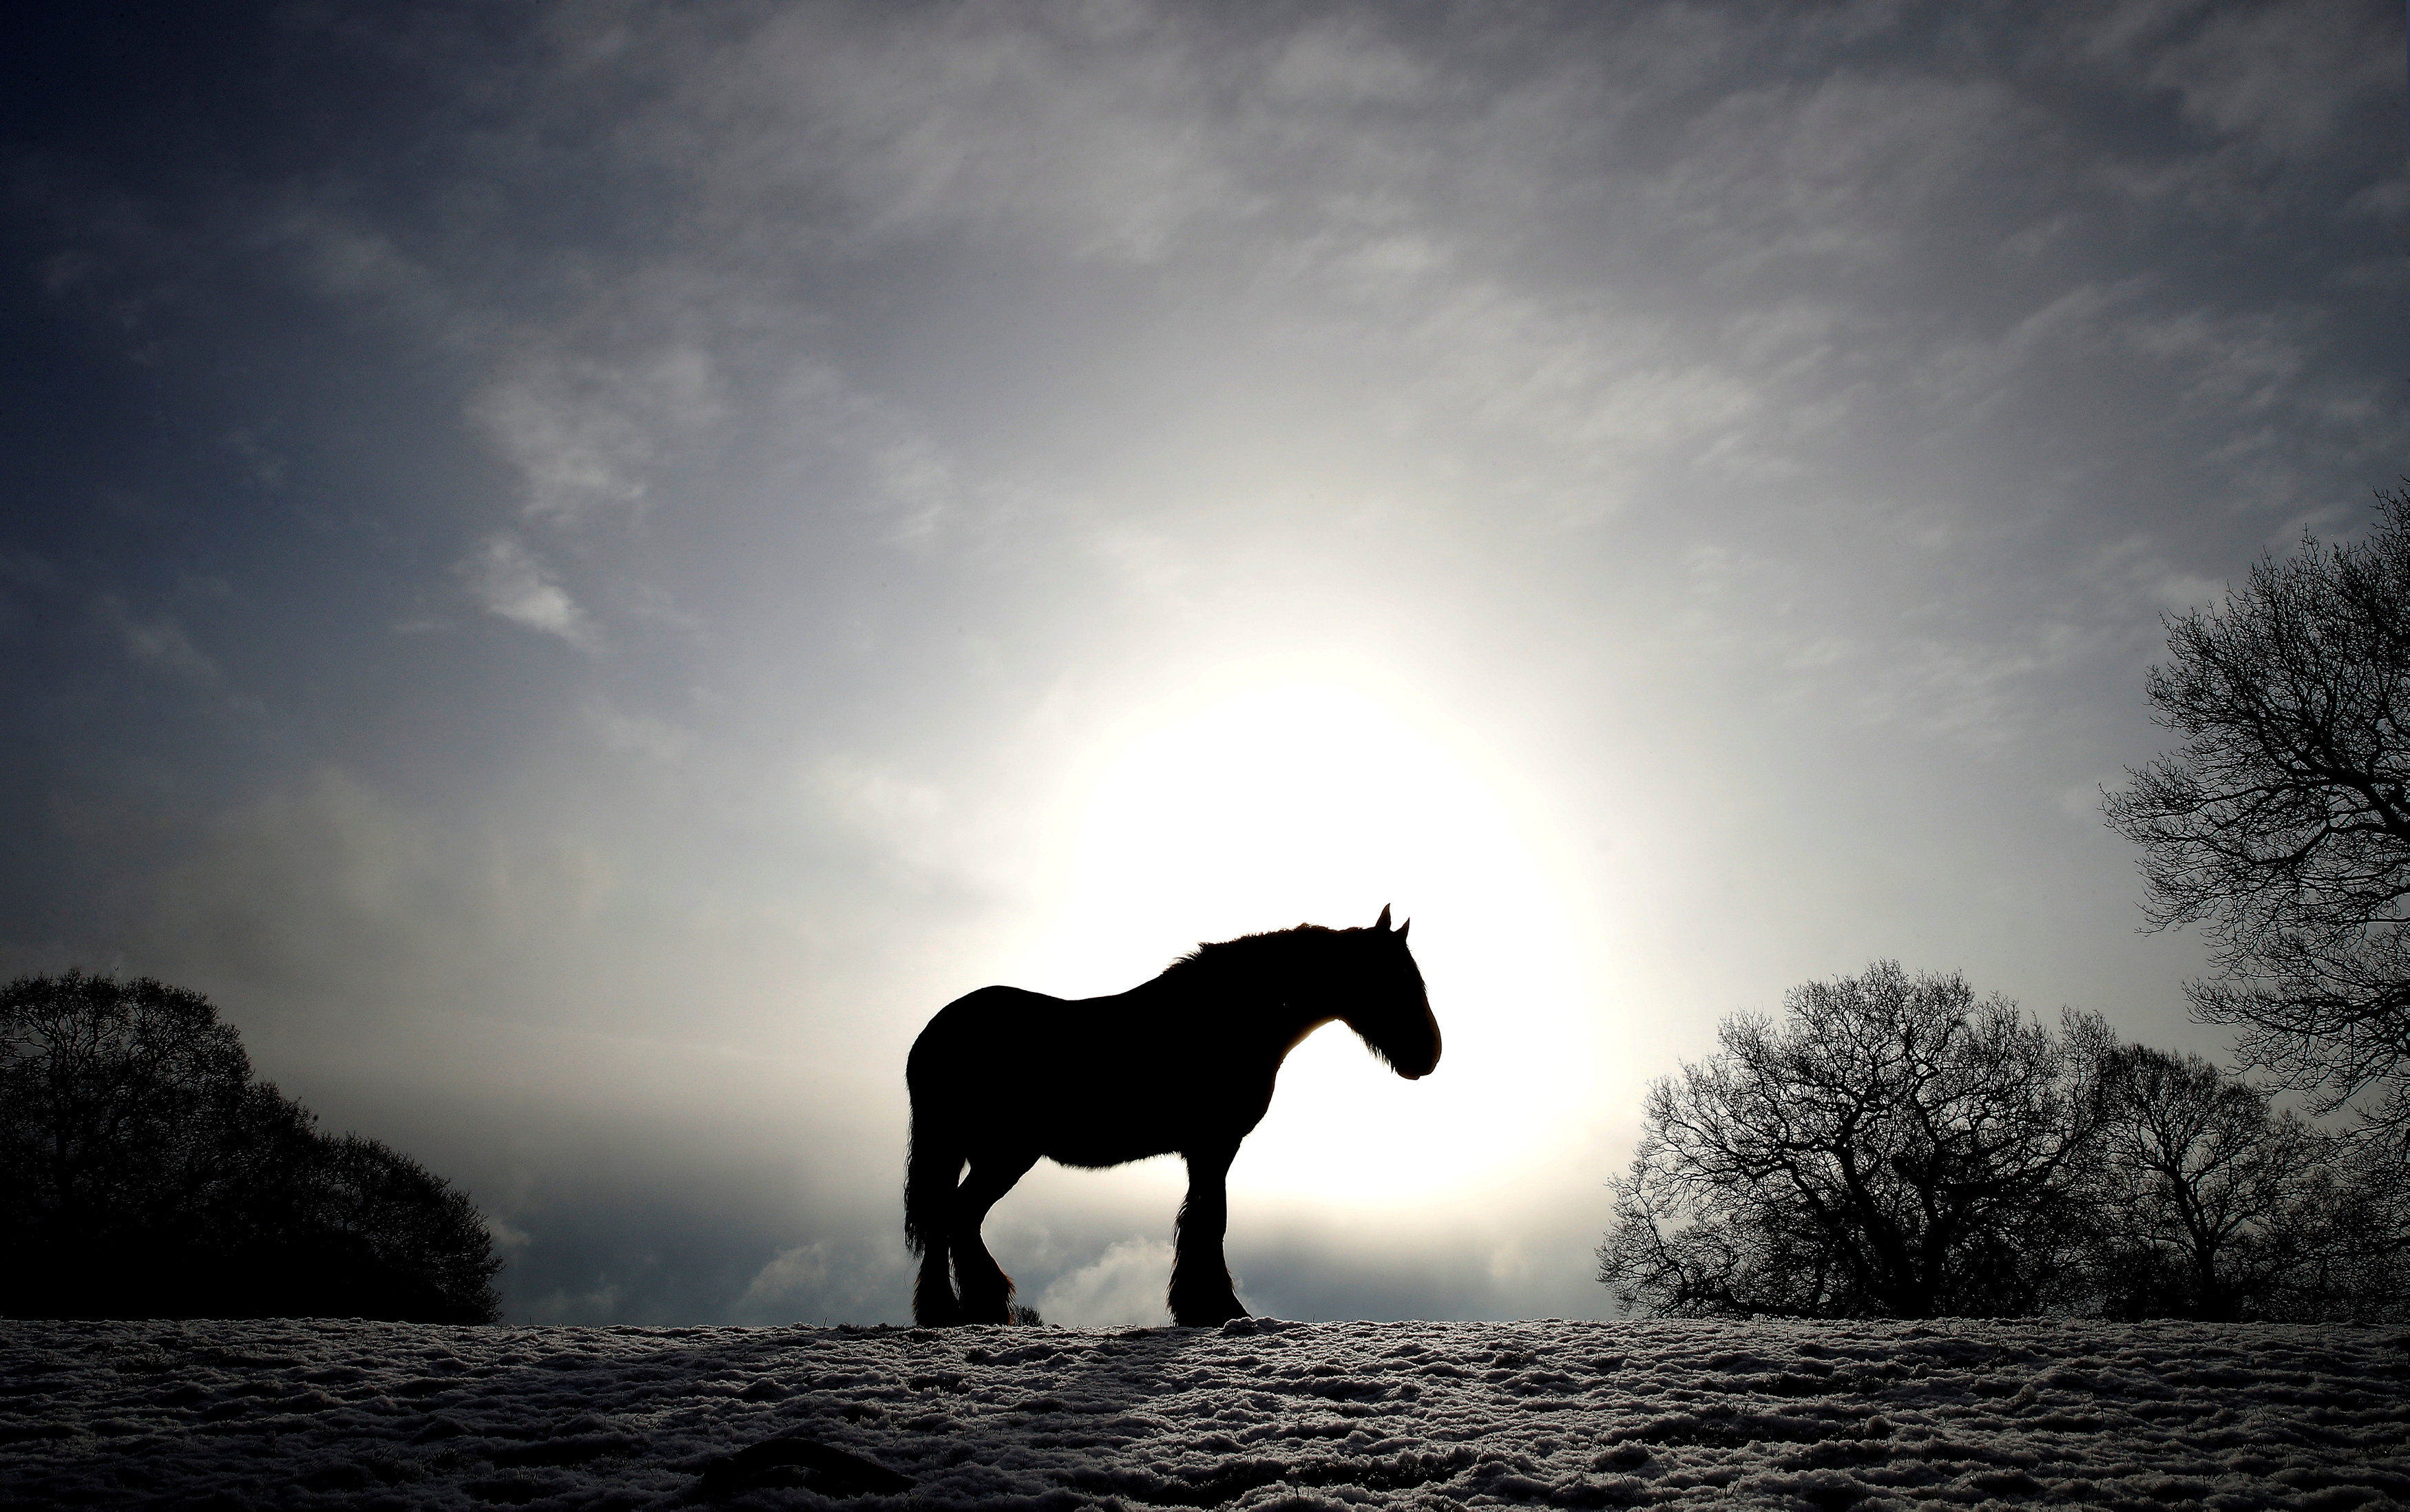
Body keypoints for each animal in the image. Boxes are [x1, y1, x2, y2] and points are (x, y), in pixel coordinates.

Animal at [901, 911, 1427, 1321]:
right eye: (1397, 978)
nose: (1429, 1054)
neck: (1229, 1015)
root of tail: (933, 1035)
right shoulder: (1215, 1144)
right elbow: (1210, 1218)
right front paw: (1215, 1307)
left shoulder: (1206, 1148)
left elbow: (1202, 1216)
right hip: (1003, 1155)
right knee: (956, 1216)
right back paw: (976, 1306)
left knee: (946, 1218)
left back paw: (949, 1311)